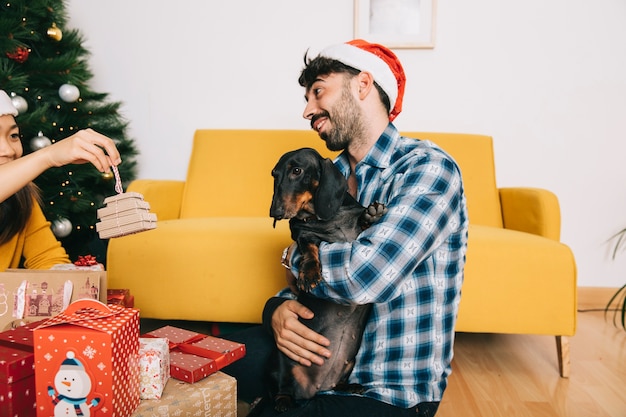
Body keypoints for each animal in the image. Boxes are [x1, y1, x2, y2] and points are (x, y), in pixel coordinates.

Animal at [266, 148, 382, 412]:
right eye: (274, 174)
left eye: (296, 170)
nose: (274, 212)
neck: (327, 218)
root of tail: (314, 389)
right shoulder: (303, 234)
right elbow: (310, 248)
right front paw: (309, 273)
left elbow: (362, 224)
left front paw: (371, 214)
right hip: (281, 360)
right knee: (282, 385)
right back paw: (282, 401)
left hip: (348, 363)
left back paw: (350, 386)